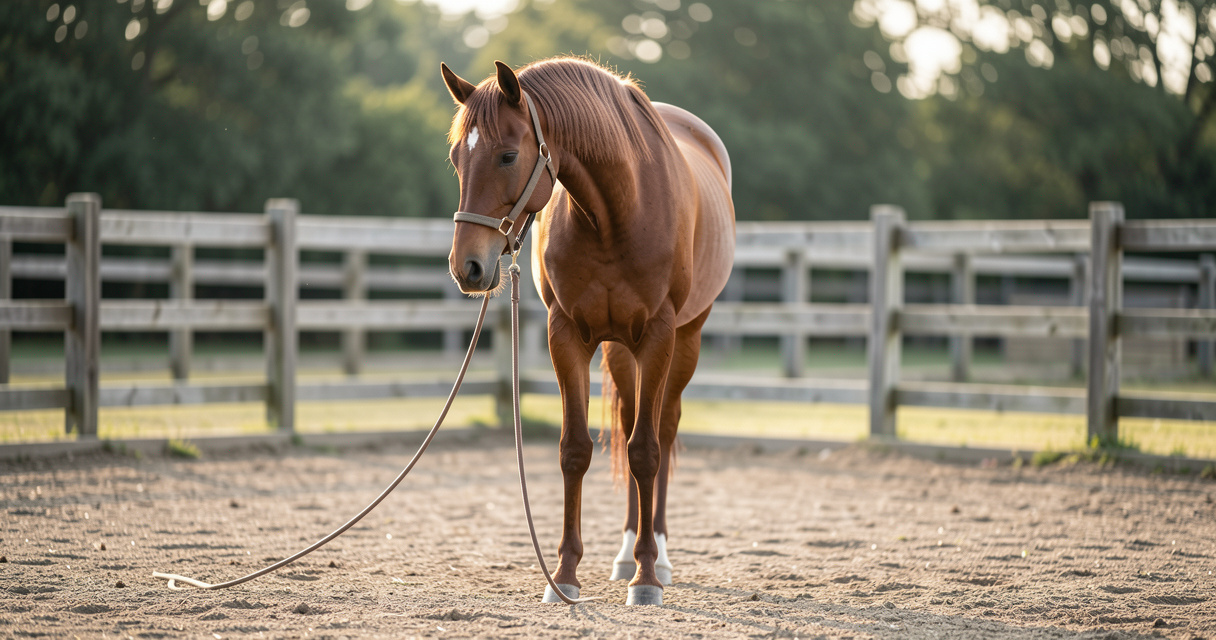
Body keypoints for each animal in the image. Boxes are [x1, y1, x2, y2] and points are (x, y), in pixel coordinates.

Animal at [440, 57, 734, 606]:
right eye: (455, 158)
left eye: (508, 155)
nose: (467, 267)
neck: (616, 213)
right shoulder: (567, 335)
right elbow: (575, 451)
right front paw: (564, 575)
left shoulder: (660, 335)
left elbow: (646, 452)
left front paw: (646, 579)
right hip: (621, 351)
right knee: (629, 418)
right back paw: (625, 552)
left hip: (685, 339)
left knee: (662, 429)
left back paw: (657, 556)